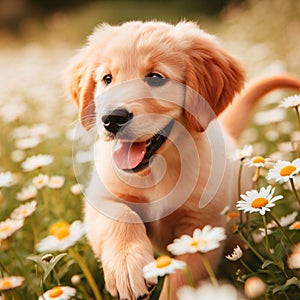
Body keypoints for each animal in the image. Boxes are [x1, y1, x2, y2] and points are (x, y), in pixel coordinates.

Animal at [67, 19, 300, 298]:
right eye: (107, 79)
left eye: (155, 77)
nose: (112, 119)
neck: (157, 170)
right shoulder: (102, 197)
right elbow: (119, 216)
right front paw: (126, 265)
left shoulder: (200, 228)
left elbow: (179, 281)